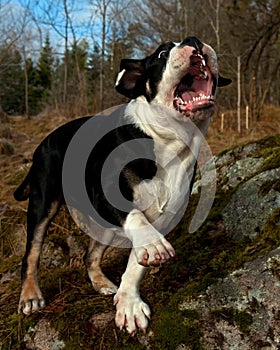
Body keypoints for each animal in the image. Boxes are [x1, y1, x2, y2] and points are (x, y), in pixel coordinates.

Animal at [14, 37, 231, 334]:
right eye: (162, 53)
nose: (194, 41)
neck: (167, 141)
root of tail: (44, 141)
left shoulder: (165, 216)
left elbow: (137, 262)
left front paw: (128, 303)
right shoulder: (106, 196)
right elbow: (137, 219)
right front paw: (154, 246)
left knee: (90, 255)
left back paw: (102, 283)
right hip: (42, 203)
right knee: (32, 253)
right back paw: (30, 296)